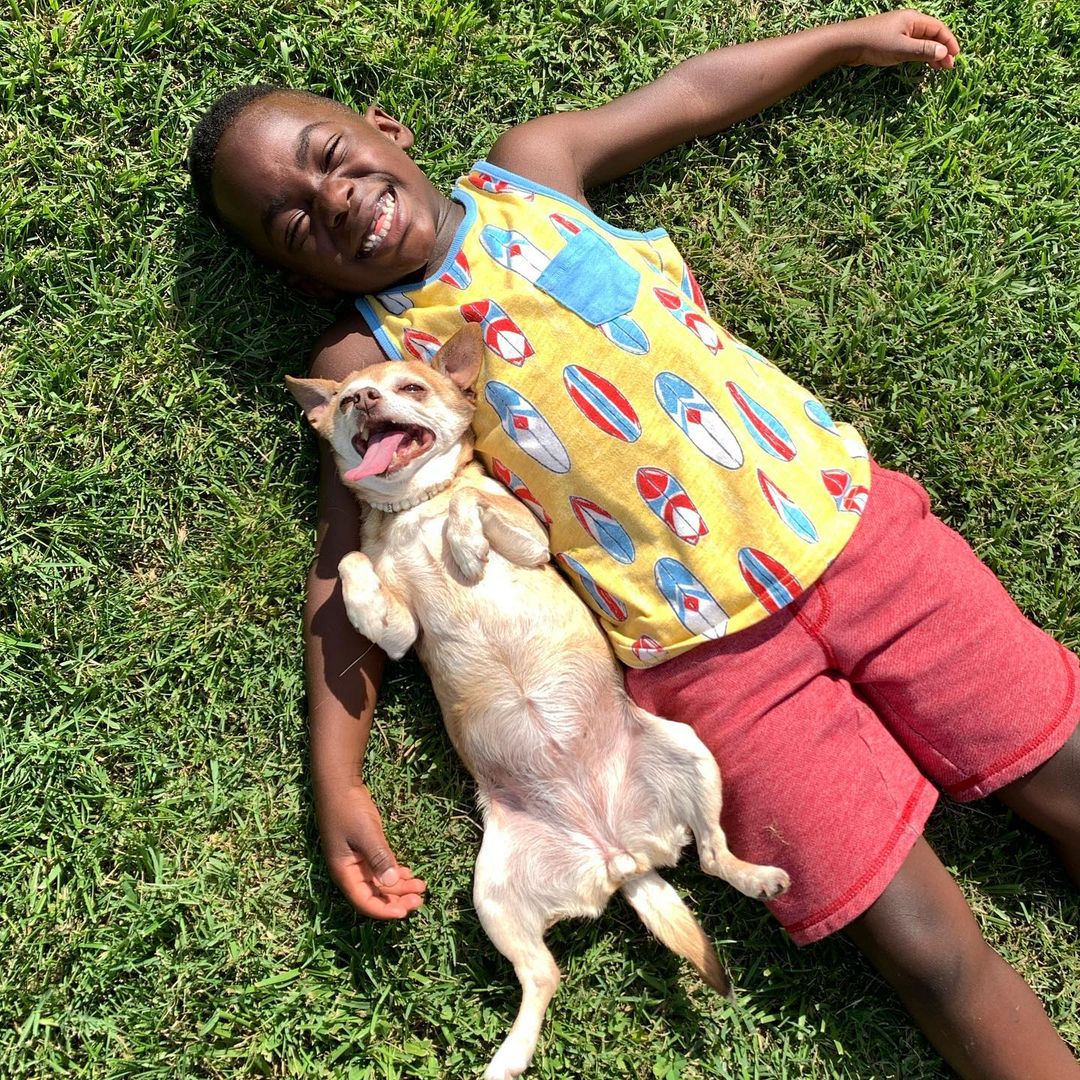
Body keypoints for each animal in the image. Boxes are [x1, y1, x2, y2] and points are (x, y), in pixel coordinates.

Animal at [287, 324, 790, 1075]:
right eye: (348, 402)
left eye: (410, 388)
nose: (367, 400)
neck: (412, 509)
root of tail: (619, 853)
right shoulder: (398, 630)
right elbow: (353, 562)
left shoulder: (528, 538)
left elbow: (472, 503)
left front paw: (464, 548)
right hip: (493, 894)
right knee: (545, 976)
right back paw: (509, 1056)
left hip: (687, 749)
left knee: (712, 853)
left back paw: (758, 879)